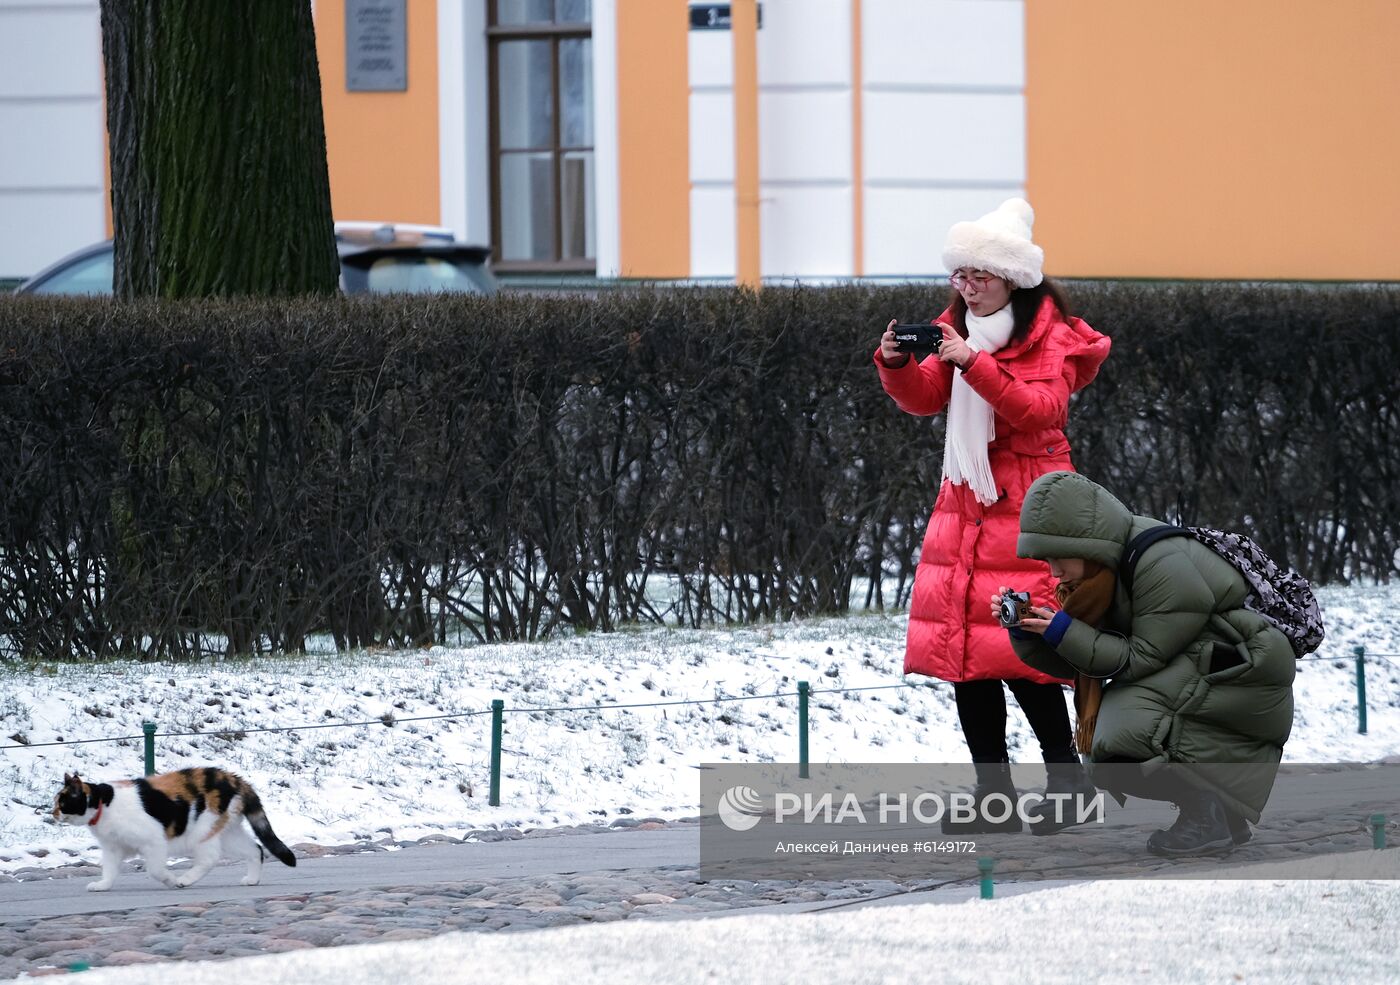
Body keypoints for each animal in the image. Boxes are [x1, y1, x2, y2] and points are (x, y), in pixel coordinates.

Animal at [51, 766, 295, 895]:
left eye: (62, 802)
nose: (52, 813)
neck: (104, 804)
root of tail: (234, 778)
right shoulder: (113, 848)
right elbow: (109, 870)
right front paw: (102, 885)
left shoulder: (154, 841)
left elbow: (155, 870)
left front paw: (170, 879)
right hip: (228, 834)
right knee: (256, 849)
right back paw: (252, 880)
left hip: (202, 831)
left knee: (210, 859)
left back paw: (185, 879)